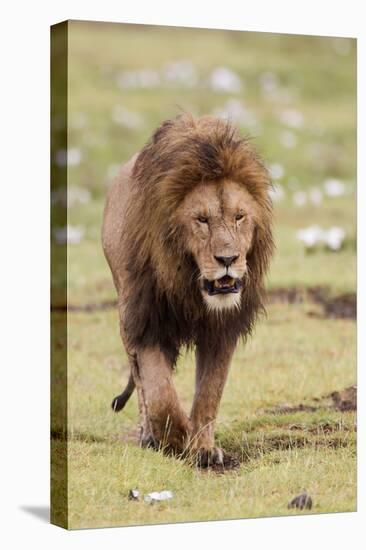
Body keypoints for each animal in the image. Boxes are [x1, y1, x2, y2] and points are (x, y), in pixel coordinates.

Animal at [101, 114, 274, 468]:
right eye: (202, 219)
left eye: (239, 216)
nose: (228, 259)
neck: (189, 285)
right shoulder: (145, 321)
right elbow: (160, 393)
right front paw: (176, 437)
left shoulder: (221, 330)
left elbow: (209, 392)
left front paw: (204, 448)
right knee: (141, 385)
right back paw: (149, 435)